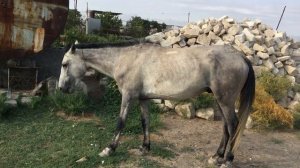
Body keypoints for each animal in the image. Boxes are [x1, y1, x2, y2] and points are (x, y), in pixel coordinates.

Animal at [58, 42, 255, 167]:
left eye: (65, 64)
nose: (61, 88)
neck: (125, 59)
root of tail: (240, 56)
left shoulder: (128, 96)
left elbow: (120, 122)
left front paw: (109, 149)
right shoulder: (143, 99)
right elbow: (145, 121)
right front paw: (145, 148)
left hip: (225, 101)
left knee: (233, 125)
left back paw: (227, 160)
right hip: (220, 101)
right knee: (226, 127)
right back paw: (216, 157)